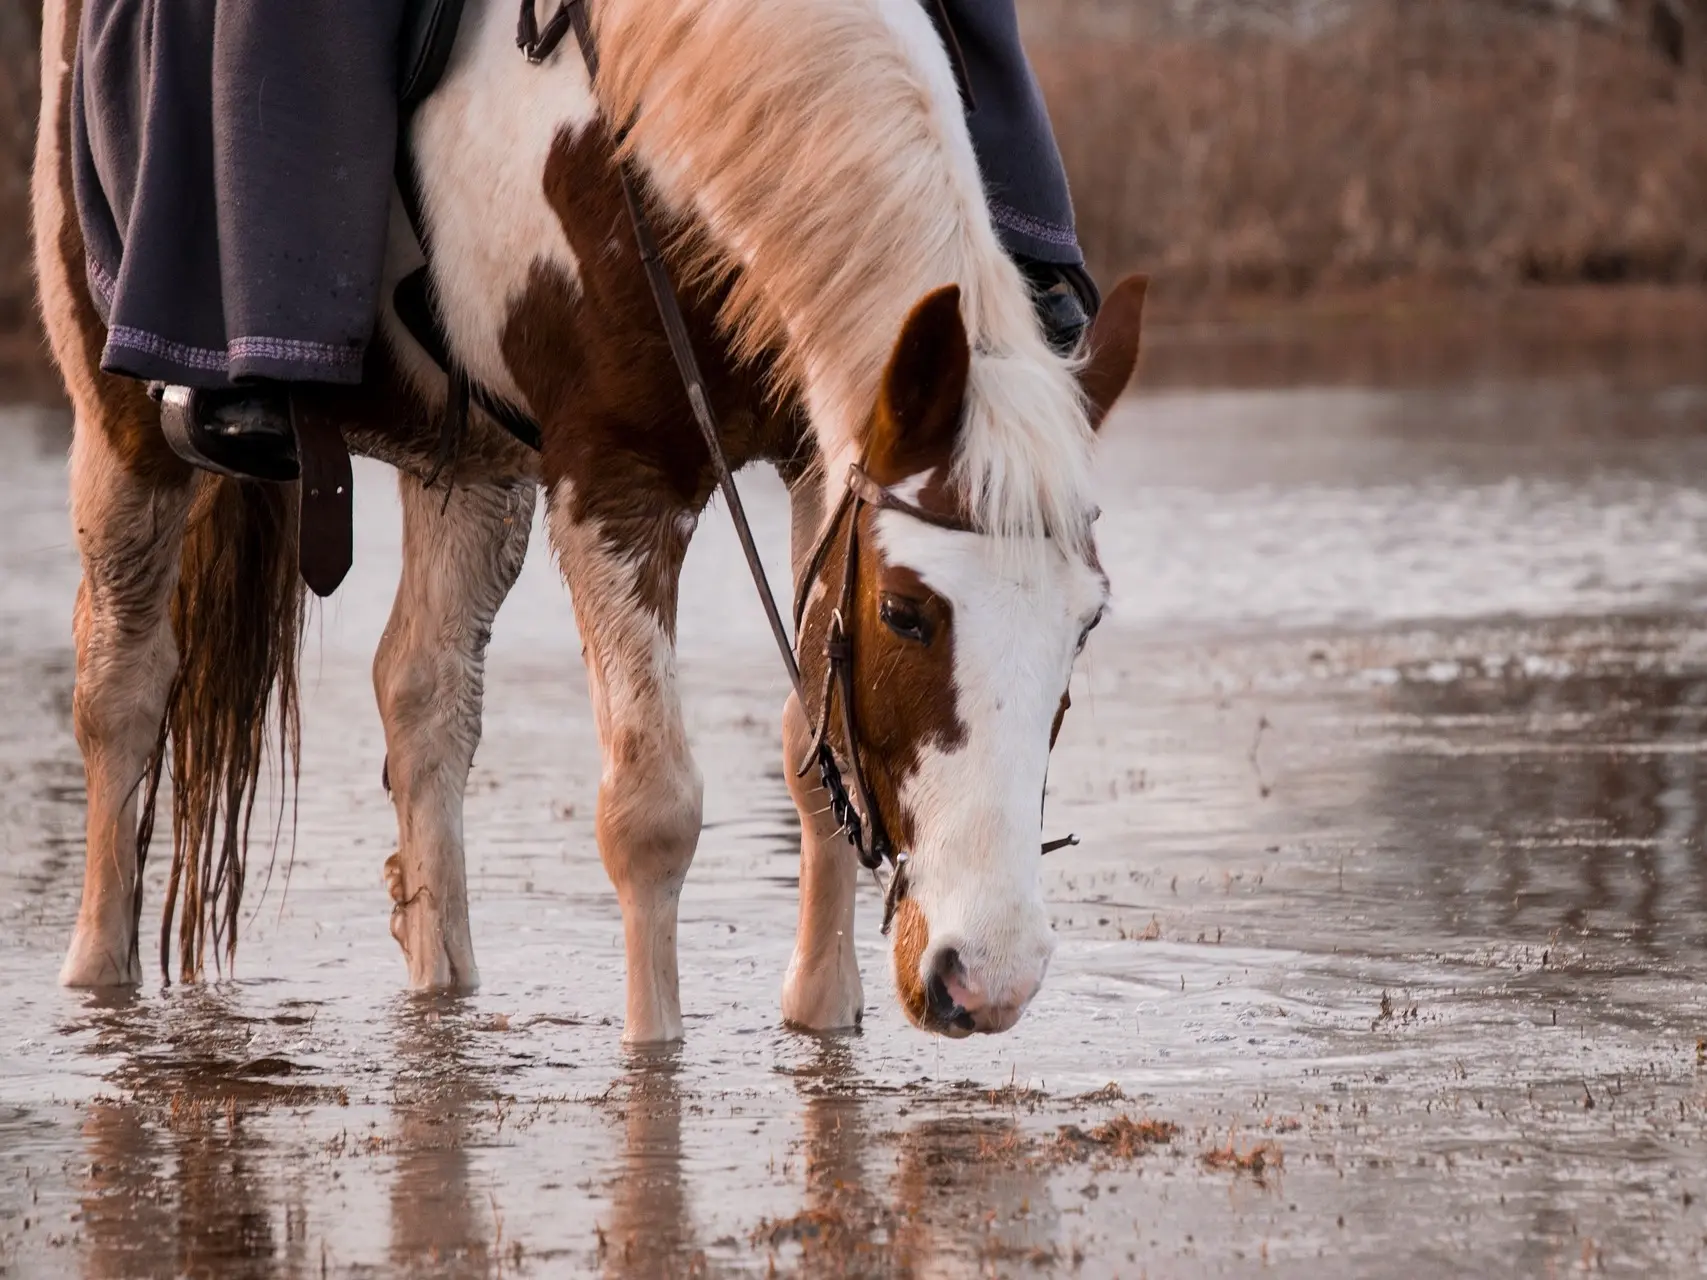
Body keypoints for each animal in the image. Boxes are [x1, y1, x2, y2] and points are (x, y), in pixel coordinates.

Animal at [30, 0, 1147, 1044]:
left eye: (1086, 624)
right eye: (905, 612)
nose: (989, 975)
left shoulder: (813, 452)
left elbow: (813, 743)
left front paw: (821, 1016)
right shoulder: (615, 482)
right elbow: (650, 810)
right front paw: (654, 1055)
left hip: (470, 468)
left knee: (424, 694)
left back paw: (444, 982)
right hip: (120, 414)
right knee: (120, 688)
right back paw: (95, 977)